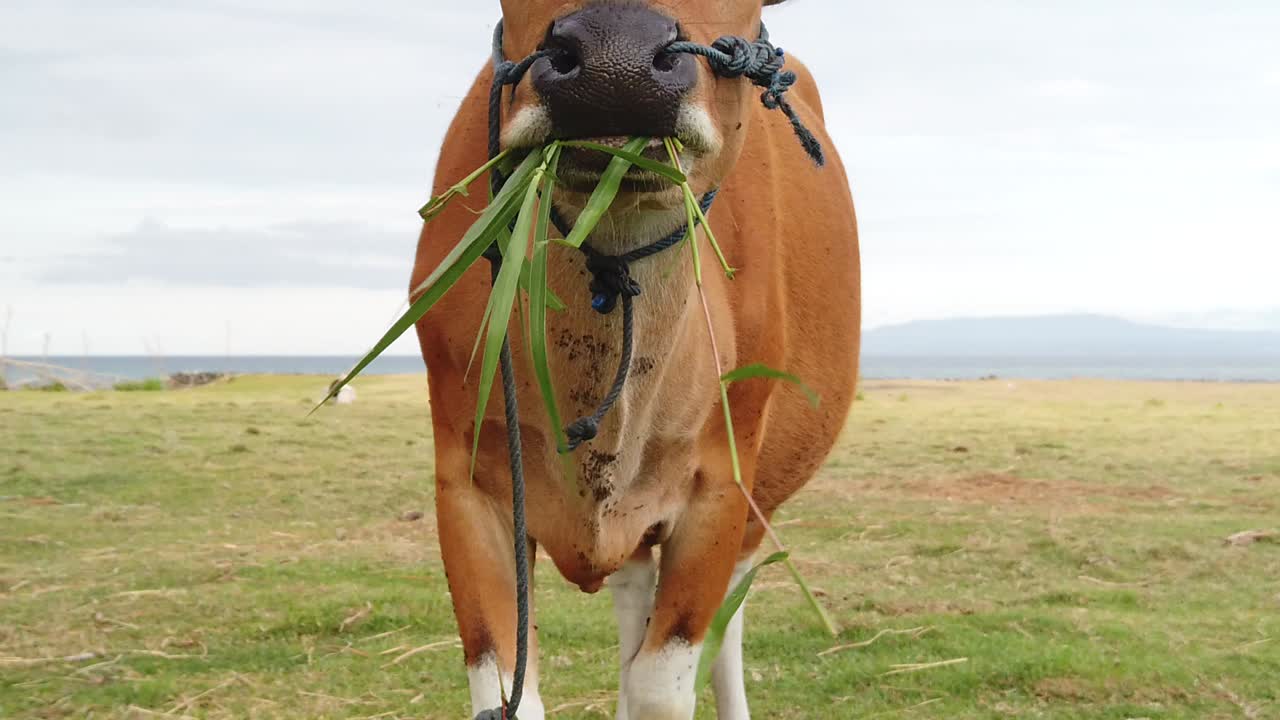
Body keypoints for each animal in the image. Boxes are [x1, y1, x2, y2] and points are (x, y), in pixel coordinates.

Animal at [412, 1, 859, 717]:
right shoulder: (466, 479)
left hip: (757, 503)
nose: (614, 65)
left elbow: (662, 686)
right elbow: (507, 692)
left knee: (727, 620)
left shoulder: (720, 486)